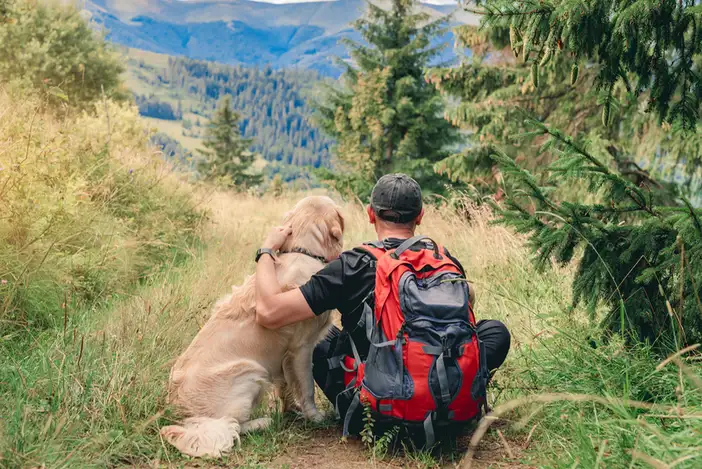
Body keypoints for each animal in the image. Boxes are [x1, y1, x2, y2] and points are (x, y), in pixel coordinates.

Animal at [160, 195, 346, 458]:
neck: (303, 251)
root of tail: (183, 415)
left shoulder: (284, 355)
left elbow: (286, 386)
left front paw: (291, 410)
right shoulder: (302, 348)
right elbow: (307, 386)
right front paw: (315, 416)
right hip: (251, 371)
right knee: (233, 425)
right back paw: (263, 422)